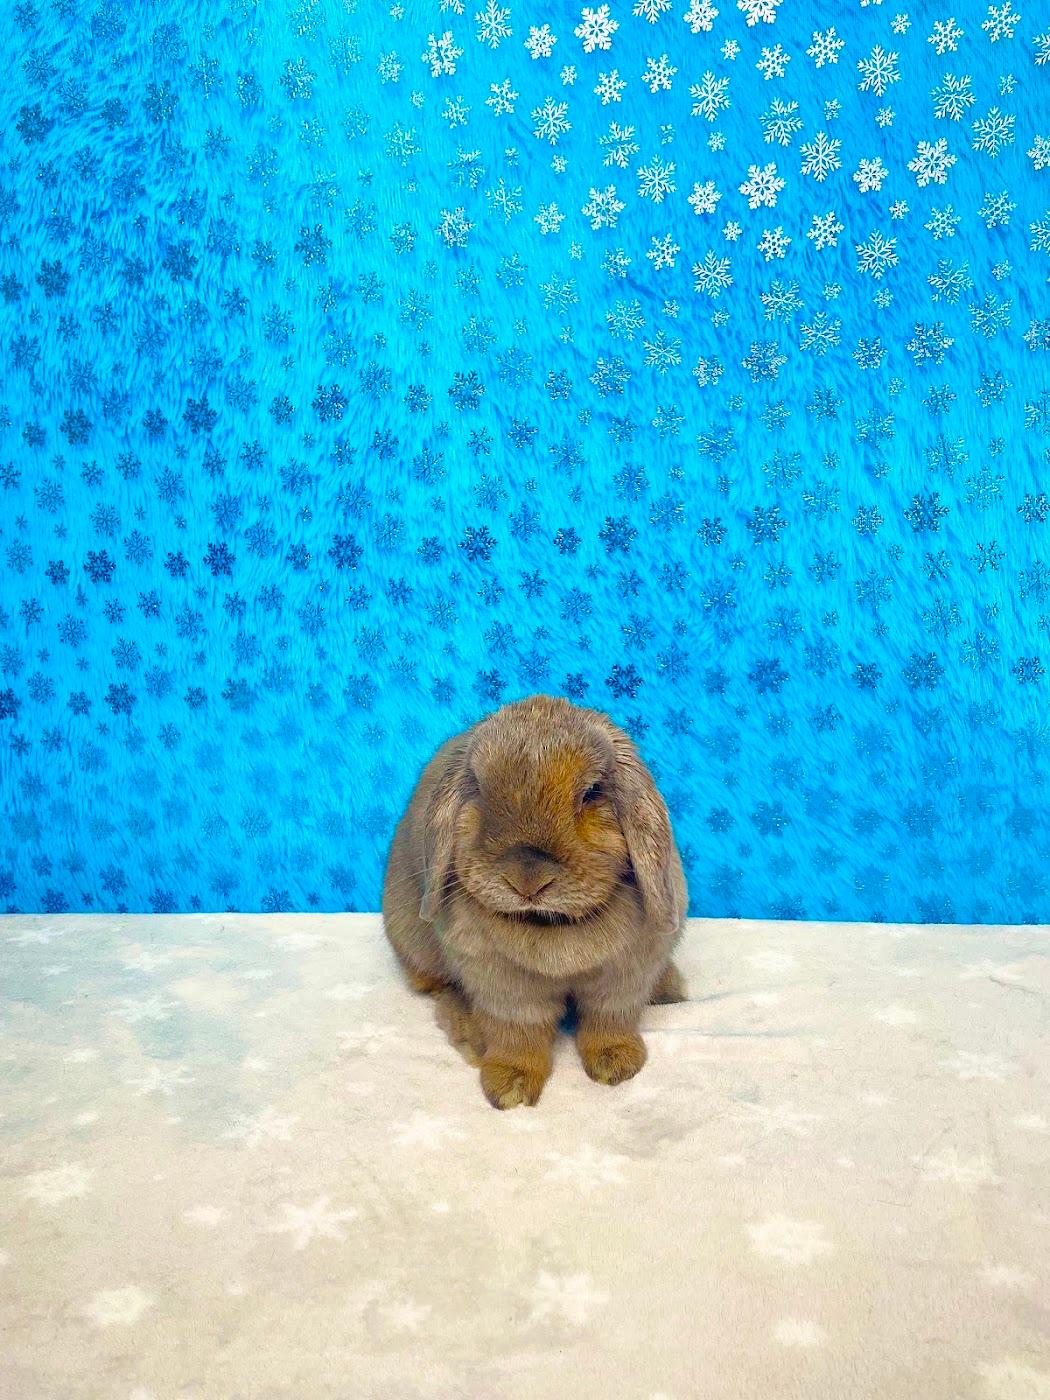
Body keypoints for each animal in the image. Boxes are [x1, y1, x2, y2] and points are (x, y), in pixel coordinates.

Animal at [382, 692, 688, 1109]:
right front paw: (510, 1087)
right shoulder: (504, 989)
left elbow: (610, 1020)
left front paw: (616, 1065)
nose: (528, 878)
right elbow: (518, 1035)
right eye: (478, 789)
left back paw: (669, 988)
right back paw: (471, 1036)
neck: (549, 922)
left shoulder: (623, 978)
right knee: (442, 988)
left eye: (592, 792)